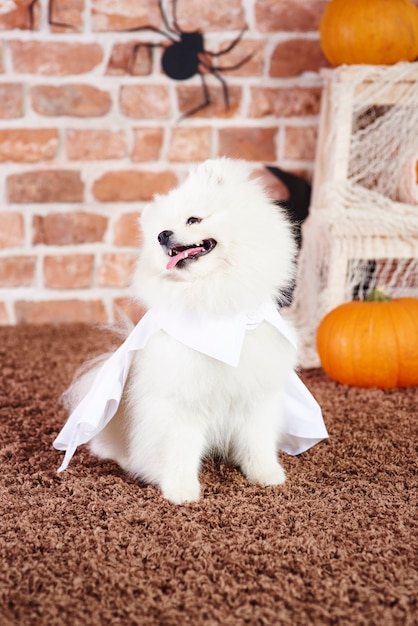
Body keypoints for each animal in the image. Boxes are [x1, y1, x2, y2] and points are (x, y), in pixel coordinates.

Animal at [62, 157, 298, 502]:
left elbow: (256, 442)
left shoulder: (255, 395)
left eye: (193, 219)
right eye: (158, 233)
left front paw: (266, 476)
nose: (162, 235)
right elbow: (180, 451)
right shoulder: (178, 403)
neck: (212, 301)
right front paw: (181, 491)